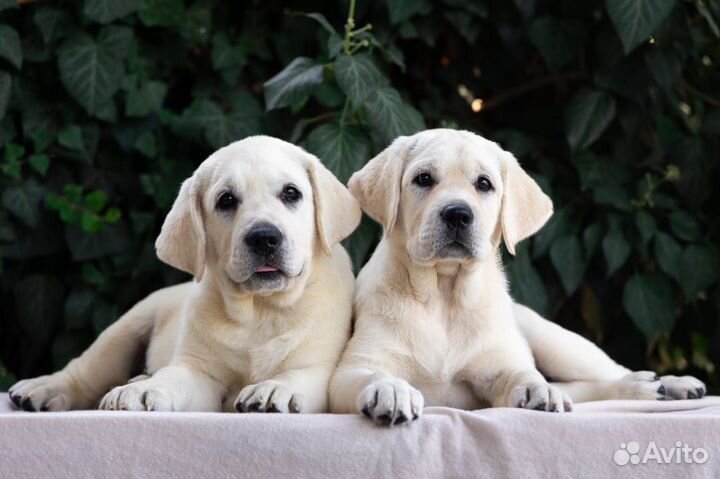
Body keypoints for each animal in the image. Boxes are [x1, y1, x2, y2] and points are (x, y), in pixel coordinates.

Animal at [9, 137, 362, 414]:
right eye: (226, 200)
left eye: (291, 193)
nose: (264, 238)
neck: (261, 310)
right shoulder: (199, 371)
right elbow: (172, 377)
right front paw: (142, 391)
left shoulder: (323, 366)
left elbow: (301, 375)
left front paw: (275, 388)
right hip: (124, 329)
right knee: (83, 372)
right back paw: (45, 388)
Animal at [332, 129, 708, 426]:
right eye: (423, 179)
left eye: (484, 184)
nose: (457, 214)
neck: (444, 294)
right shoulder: (350, 371)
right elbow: (372, 373)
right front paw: (391, 389)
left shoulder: (500, 366)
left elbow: (521, 372)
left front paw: (535, 388)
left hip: (556, 341)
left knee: (603, 372)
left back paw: (667, 383)